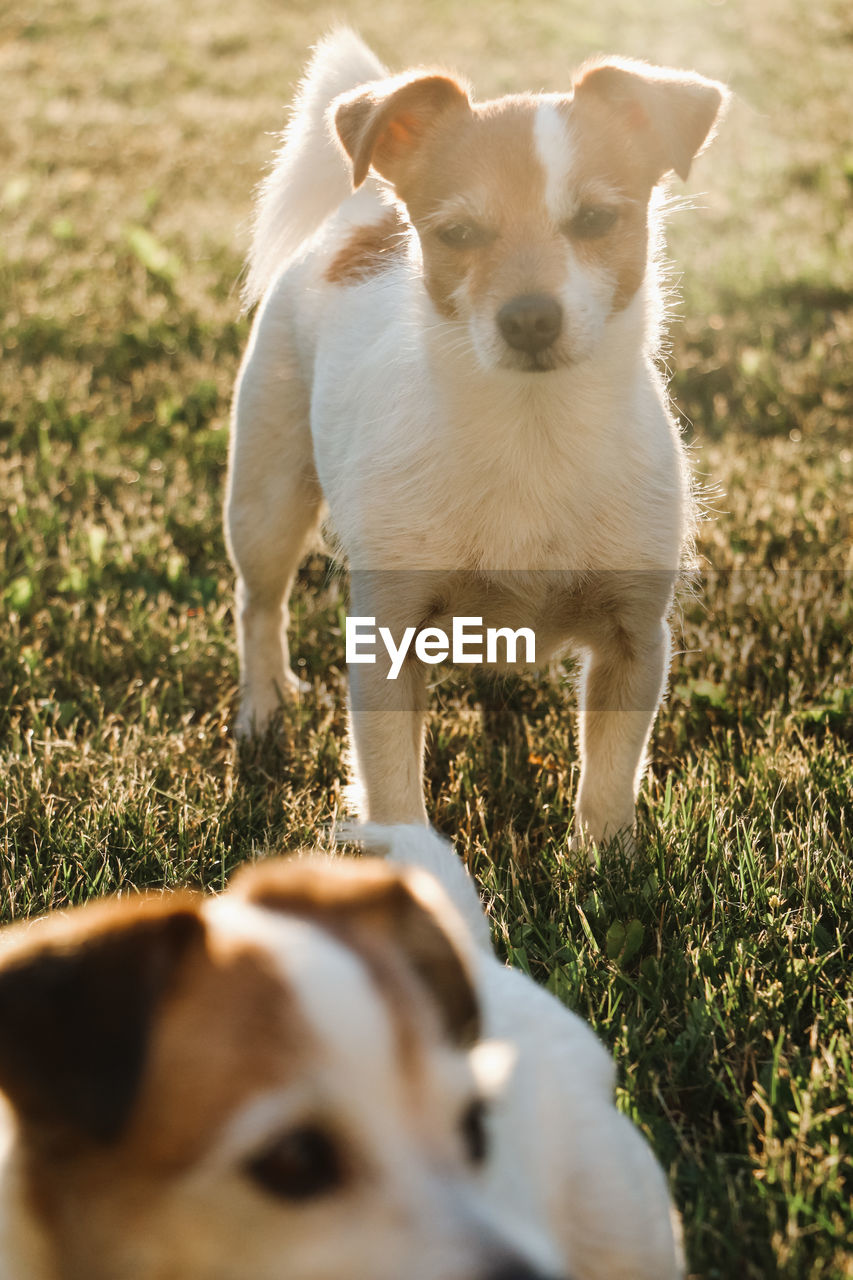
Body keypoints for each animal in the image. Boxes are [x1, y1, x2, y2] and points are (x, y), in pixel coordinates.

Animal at [224, 30, 722, 849]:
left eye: (595, 220)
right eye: (455, 234)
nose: (529, 316)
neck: (531, 427)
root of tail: (366, 211)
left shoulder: (634, 640)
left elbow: (610, 771)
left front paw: (605, 858)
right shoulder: (386, 641)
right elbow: (392, 783)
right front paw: (410, 858)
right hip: (266, 498)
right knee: (259, 604)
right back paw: (263, 704)